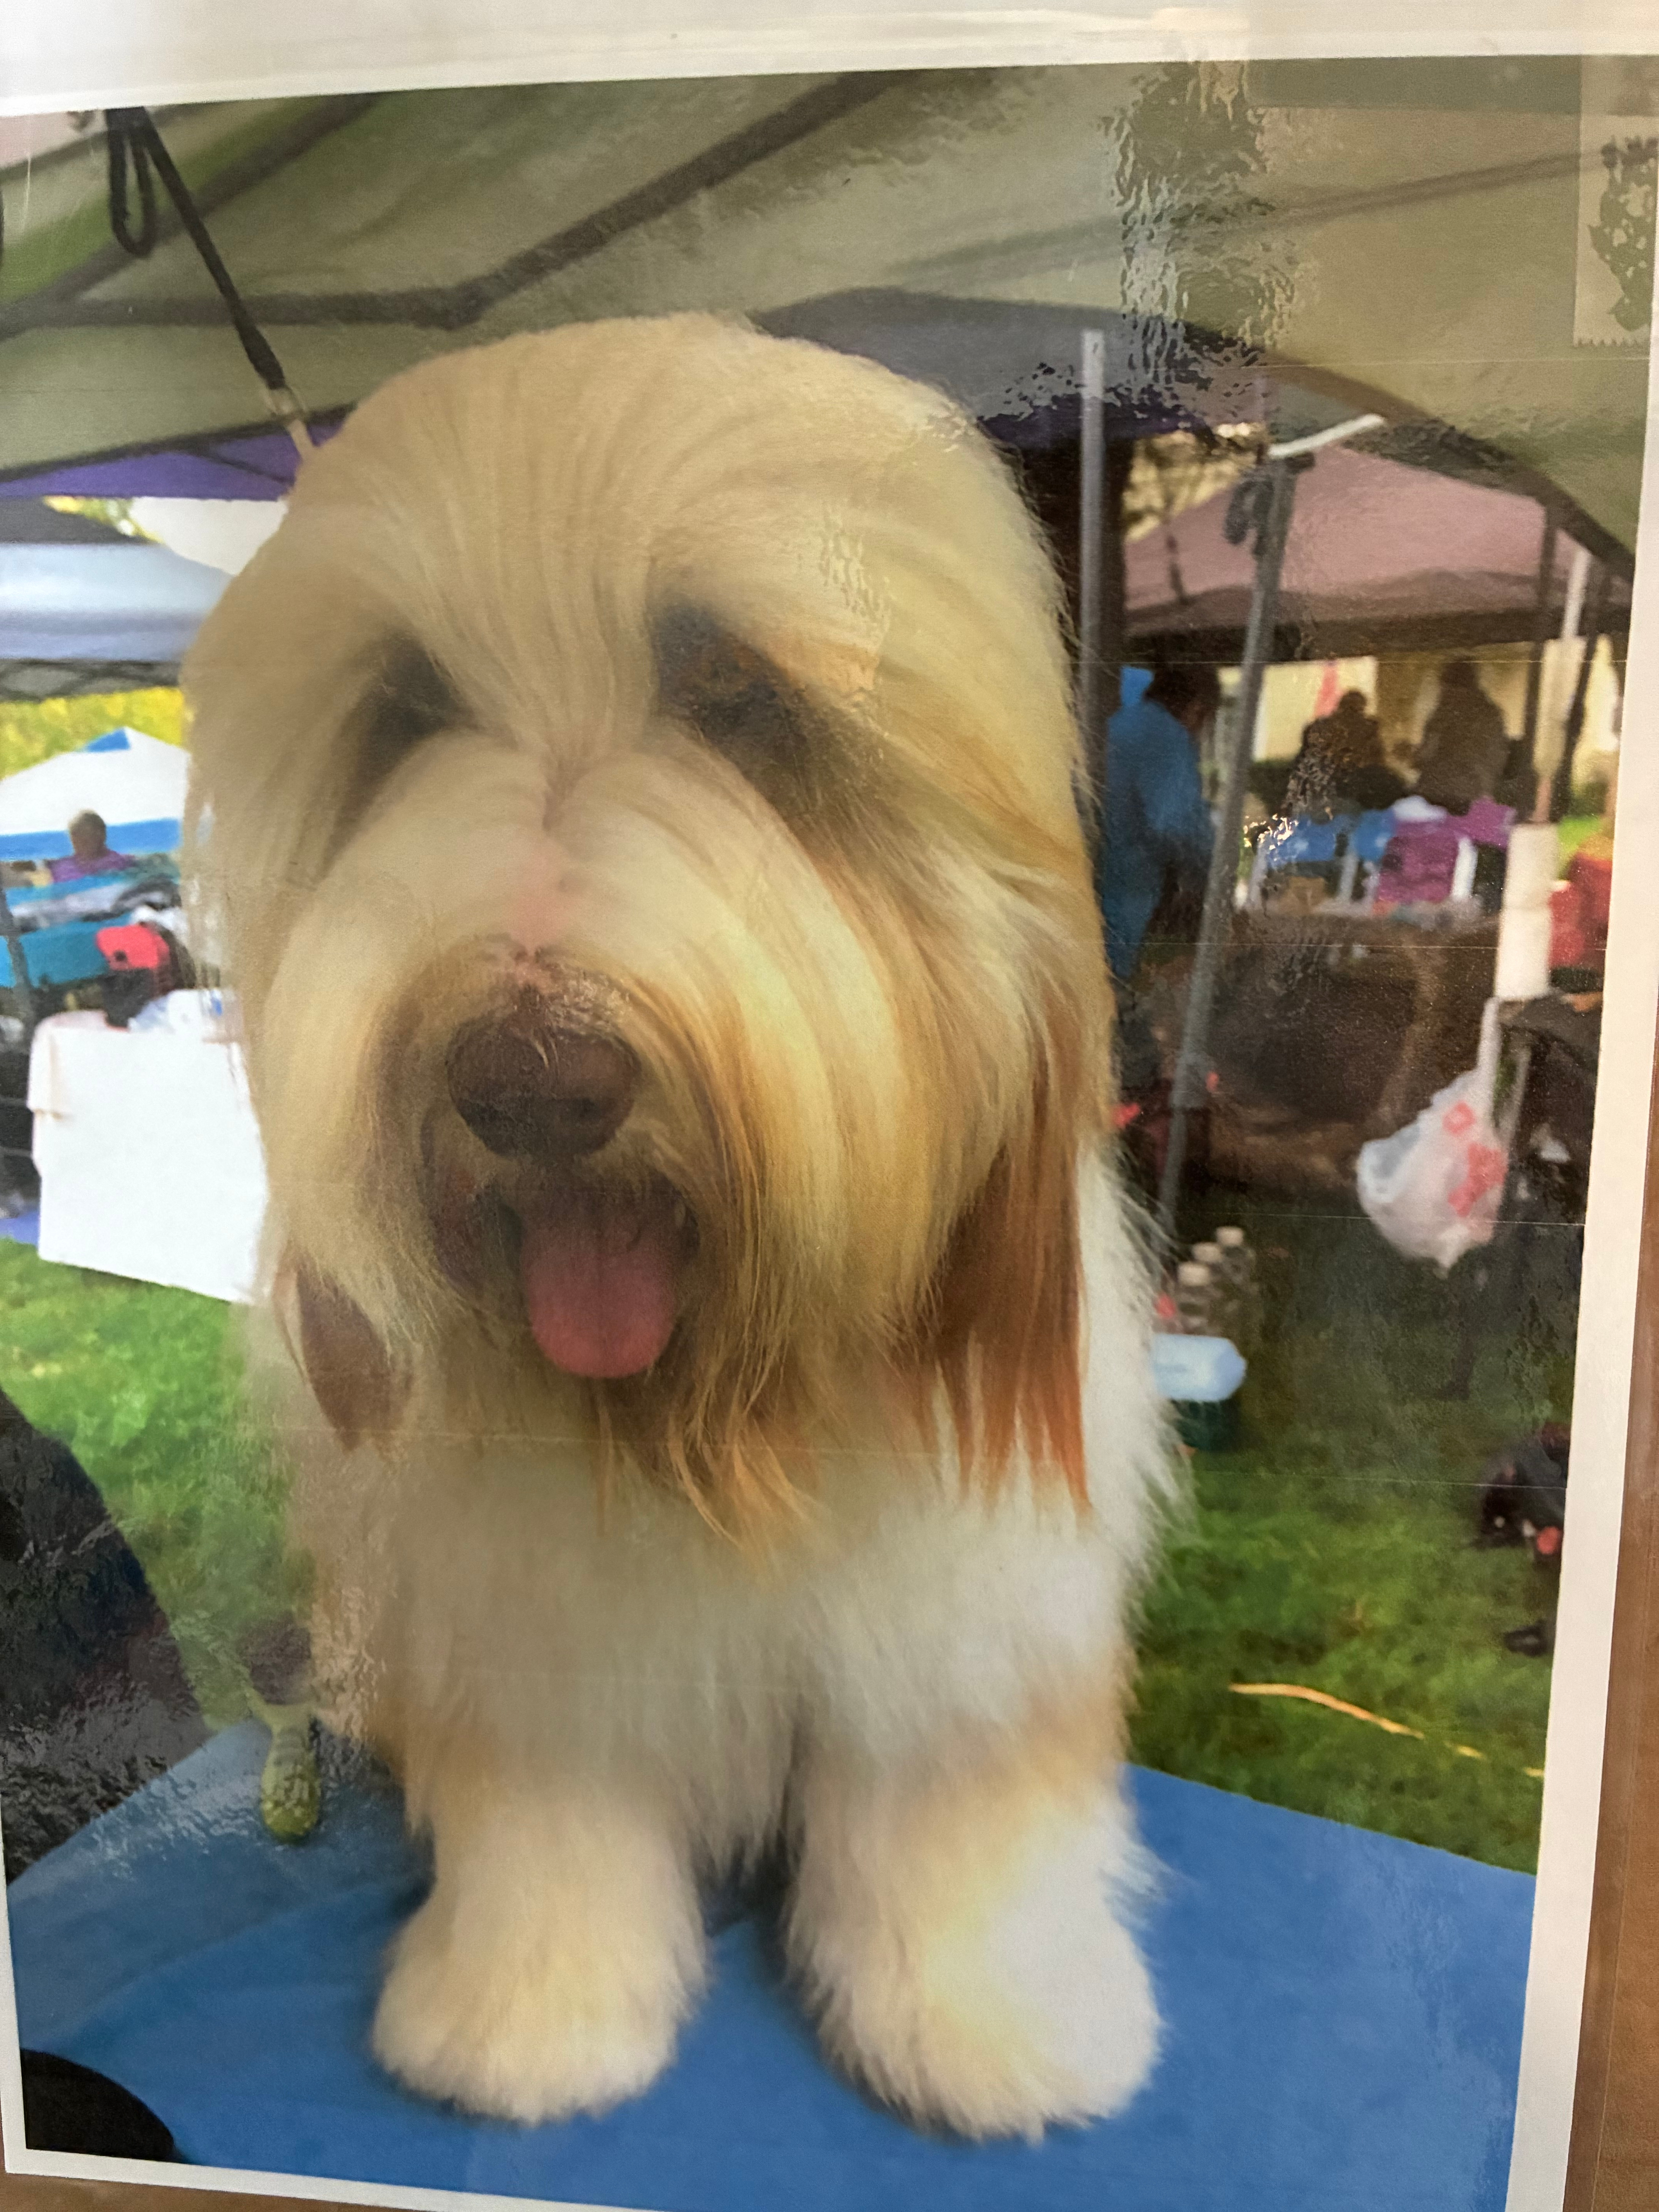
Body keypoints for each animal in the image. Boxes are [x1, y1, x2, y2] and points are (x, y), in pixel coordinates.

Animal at [184, 314, 1171, 2139]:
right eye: (405, 708)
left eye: (738, 693)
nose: (526, 1079)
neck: (709, 1422)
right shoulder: (526, 1644)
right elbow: (551, 1826)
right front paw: (530, 2014)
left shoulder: (965, 1622)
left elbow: (952, 1810)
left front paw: (991, 2016)